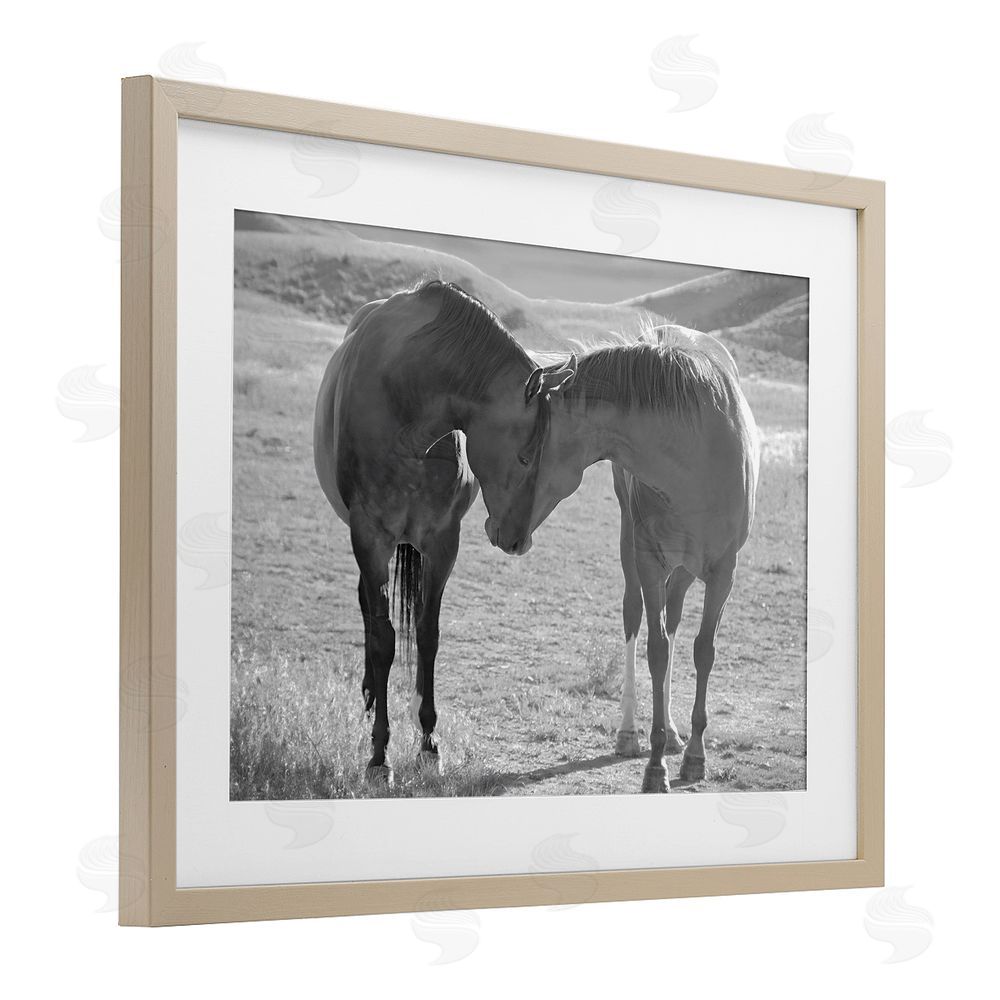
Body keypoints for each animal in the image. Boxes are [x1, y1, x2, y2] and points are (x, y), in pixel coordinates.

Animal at [479, 324, 760, 792]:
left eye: (524, 455)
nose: (496, 531)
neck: (696, 453)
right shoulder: (649, 560)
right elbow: (655, 649)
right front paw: (655, 765)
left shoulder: (724, 572)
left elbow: (703, 650)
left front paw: (695, 755)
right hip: (634, 545)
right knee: (635, 615)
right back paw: (630, 733)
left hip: (685, 569)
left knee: (674, 619)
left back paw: (676, 733)